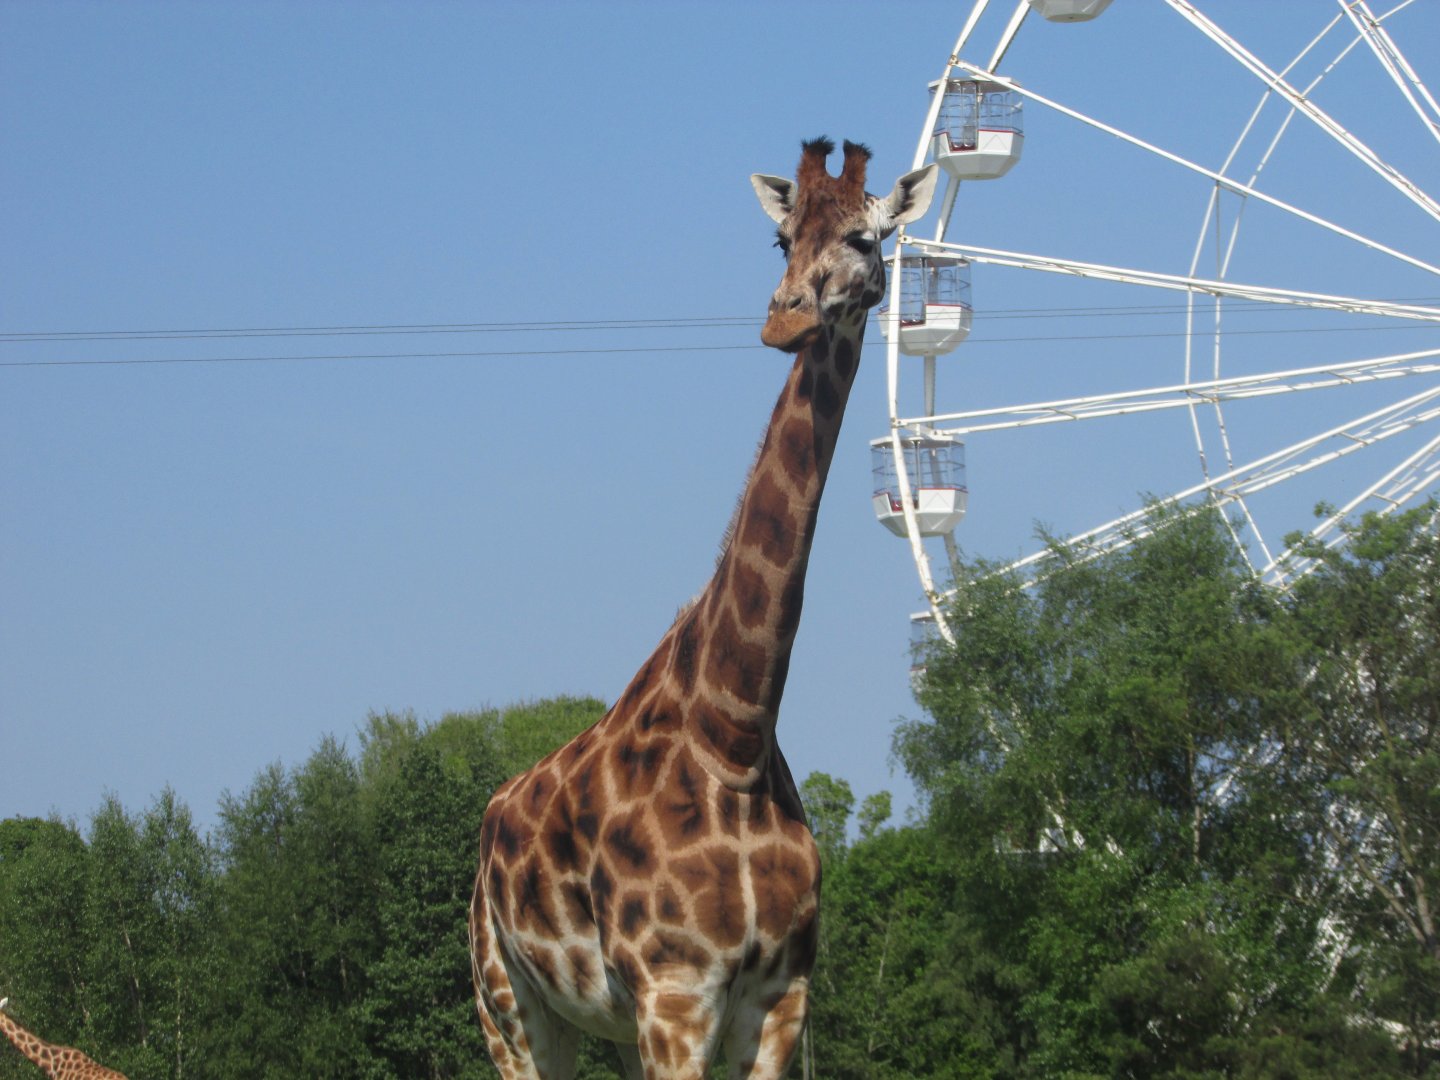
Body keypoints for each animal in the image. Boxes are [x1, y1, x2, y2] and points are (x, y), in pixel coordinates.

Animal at [469, 138, 938, 1080]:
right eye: (781, 239)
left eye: (867, 238)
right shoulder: (676, 991)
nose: (784, 321)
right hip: (507, 1003)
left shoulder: (779, 998)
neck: (737, 734)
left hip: (600, 1025)